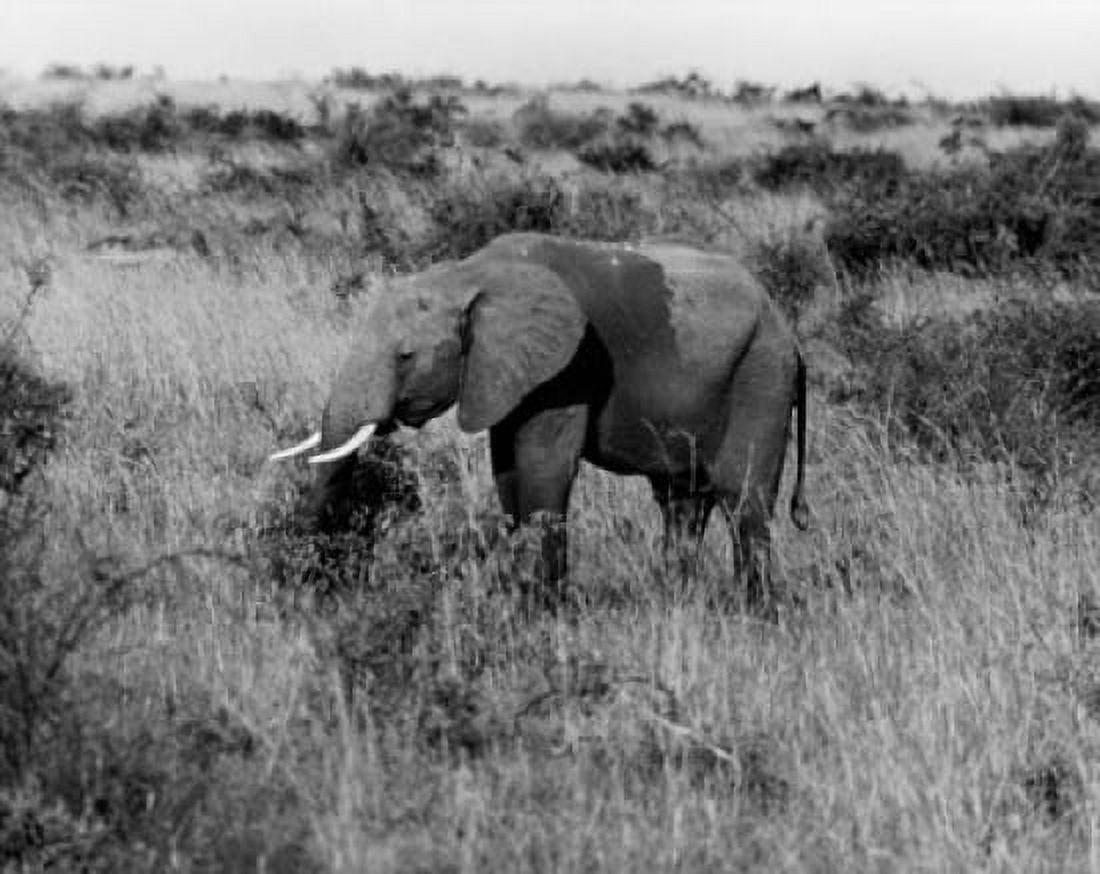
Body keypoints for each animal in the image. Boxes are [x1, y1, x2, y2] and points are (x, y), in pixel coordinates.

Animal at [272, 232, 809, 607]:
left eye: (405, 357)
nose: (306, 585)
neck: (469, 275)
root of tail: (786, 327)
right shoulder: (504, 374)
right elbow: (508, 475)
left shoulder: (568, 368)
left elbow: (543, 471)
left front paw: (541, 612)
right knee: (681, 503)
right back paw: (676, 601)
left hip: (761, 375)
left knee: (744, 500)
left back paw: (754, 613)